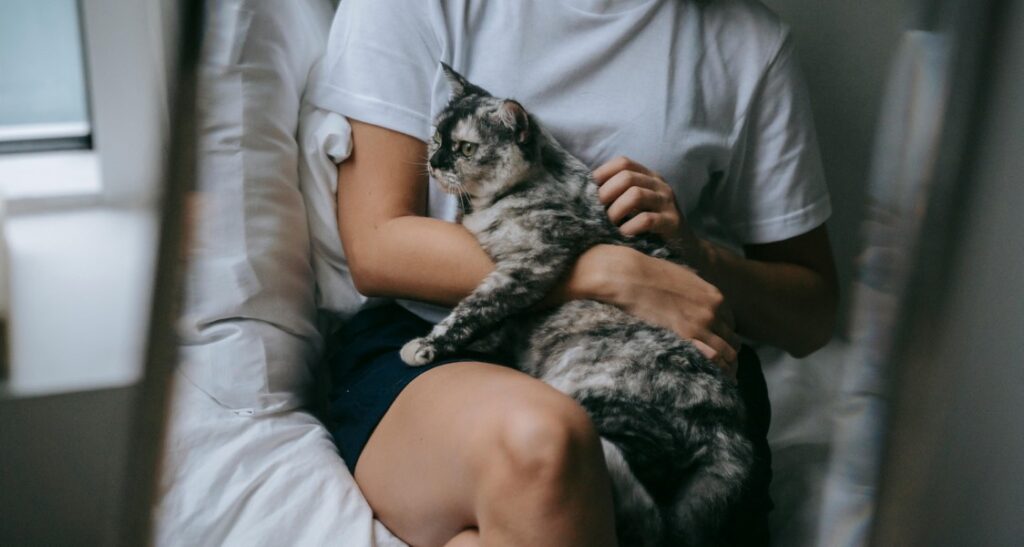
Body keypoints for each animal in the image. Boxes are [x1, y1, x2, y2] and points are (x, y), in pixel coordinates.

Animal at [399, 65, 753, 547]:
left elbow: (473, 310)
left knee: (639, 506)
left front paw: (426, 345)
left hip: (592, 404)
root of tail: (731, 434)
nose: (435, 161)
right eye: (436, 137)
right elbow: (493, 323)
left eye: (466, 148)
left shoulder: (528, 267)